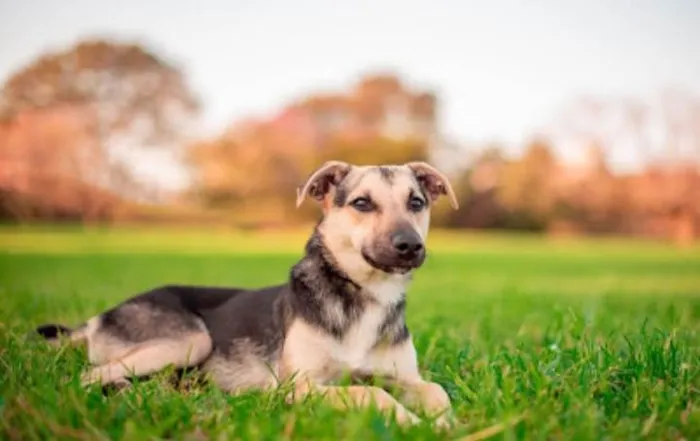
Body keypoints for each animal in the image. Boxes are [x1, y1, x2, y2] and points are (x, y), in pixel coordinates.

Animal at [39, 160, 464, 428]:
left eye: (416, 202)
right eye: (362, 203)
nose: (410, 246)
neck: (364, 295)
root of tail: (98, 318)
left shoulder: (403, 377)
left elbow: (435, 391)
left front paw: (446, 421)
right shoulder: (298, 387)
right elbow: (370, 394)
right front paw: (411, 422)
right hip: (189, 340)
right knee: (87, 376)